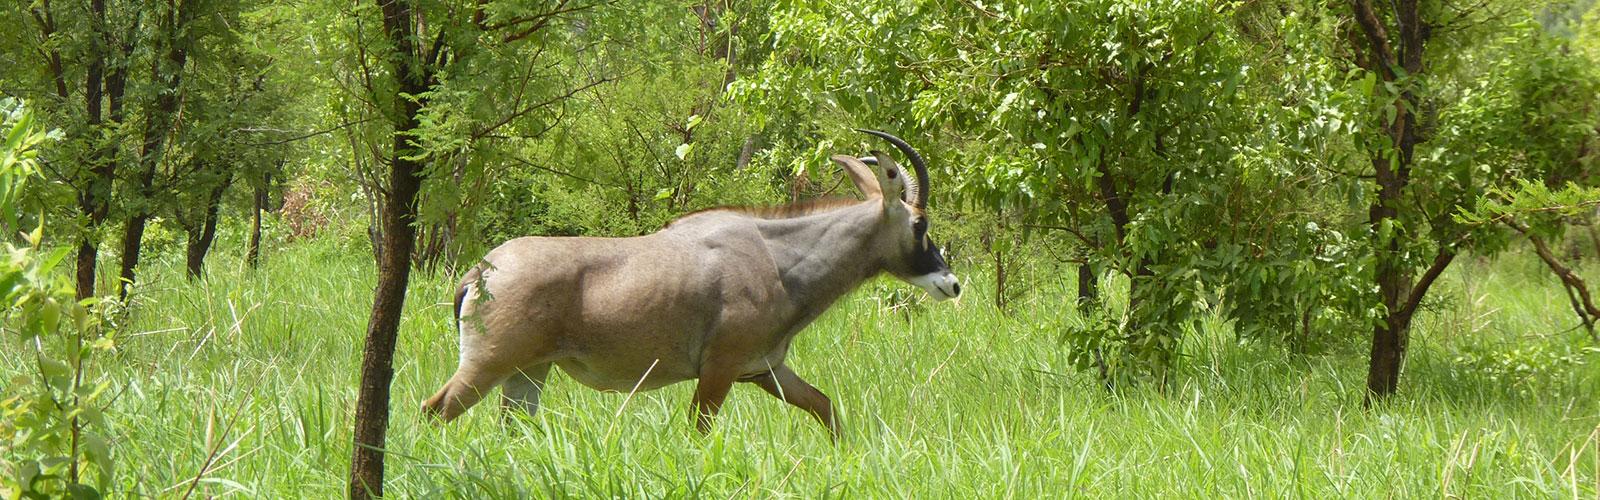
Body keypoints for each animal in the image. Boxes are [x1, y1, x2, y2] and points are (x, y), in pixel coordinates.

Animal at [419, 129, 953, 435]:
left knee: (511, 429)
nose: (952, 284)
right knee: (434, 408)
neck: (777, 257)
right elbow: (698, 431)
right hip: (487, 365)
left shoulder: (765, 369)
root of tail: (480, 270)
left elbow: (825, 408)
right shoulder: (719, 369)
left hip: (527, 373)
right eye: (920, 224)